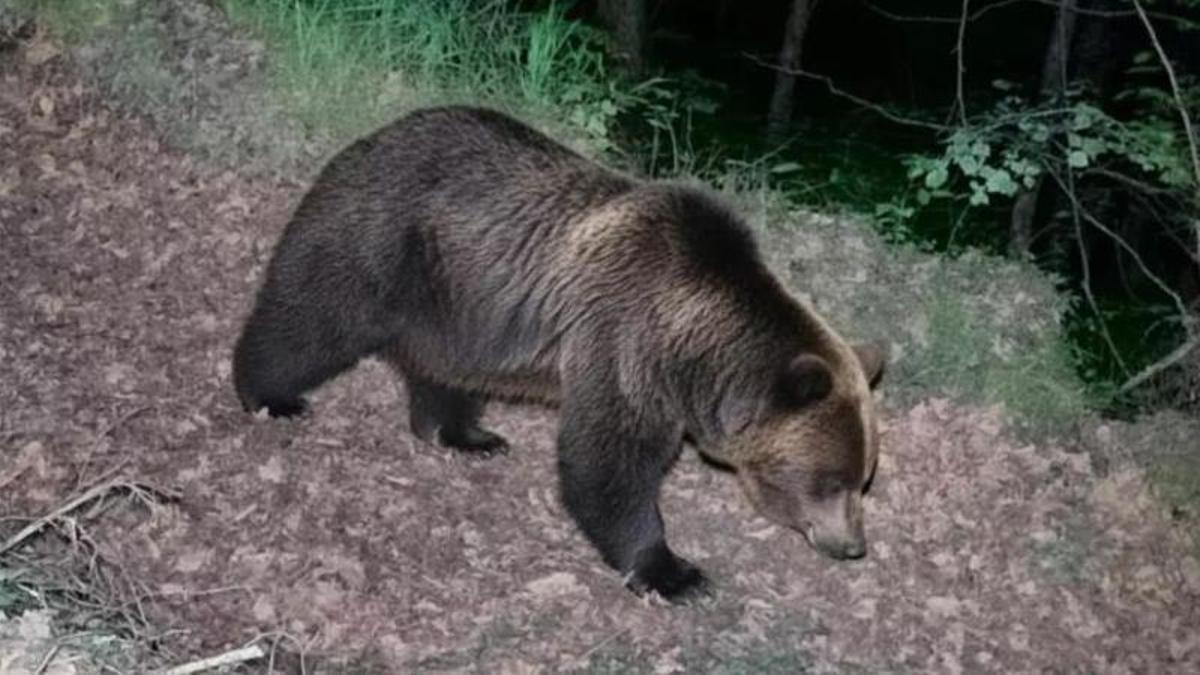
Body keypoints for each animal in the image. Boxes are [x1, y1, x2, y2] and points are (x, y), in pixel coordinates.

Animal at [233, 106, 885, 601]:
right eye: (831, 480)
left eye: (862, 478)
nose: (853, 546)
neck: (695, 345)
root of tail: (374, 135)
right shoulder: (624, 346)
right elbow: (607, 463)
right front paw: (674, 572)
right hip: (381, 240)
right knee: (316, 314)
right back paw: (270, 393)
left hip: (453, 304)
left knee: (441, 368)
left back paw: (466, 435)